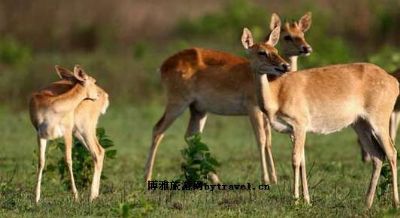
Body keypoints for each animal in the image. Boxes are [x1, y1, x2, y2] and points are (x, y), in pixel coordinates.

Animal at [29, 64, 109, 203]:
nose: (98, 95)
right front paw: (37, 198)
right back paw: (94, 195)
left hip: (85, 129)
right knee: (98, 152)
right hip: (78, 133)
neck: (52, 105)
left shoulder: (66, 132)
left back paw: (91, 196)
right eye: (94, 81)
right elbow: (41, 162)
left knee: (98, 151)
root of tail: (105, 95)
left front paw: (75, 196)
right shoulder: (40, 134)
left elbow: (68, 160)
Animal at [144, 12, 312, 186]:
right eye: (287, 37)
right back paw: (147, 179)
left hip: (198, 109)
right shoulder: (253, 109)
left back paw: (216, 179)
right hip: (177, 103)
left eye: (302, 34)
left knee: (191, 136)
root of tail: (163, 66)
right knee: (158, 129)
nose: (285, 65)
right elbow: (261, 139)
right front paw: (267, 179)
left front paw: (274, 178)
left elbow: (270, 140)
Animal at [242, 25, 398, 208]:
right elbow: (302, 159)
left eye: (275, 50)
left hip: (379, 118)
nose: (284, 66)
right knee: (377, 155)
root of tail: (395, 83)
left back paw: (395, 203)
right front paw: (306, 200)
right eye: (261, 52)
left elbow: (295, 159)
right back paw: (367, 203)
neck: (276, 95)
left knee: (392, 152)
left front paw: (295, 200)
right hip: (360, 123)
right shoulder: (292, 131)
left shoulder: (300, 123)